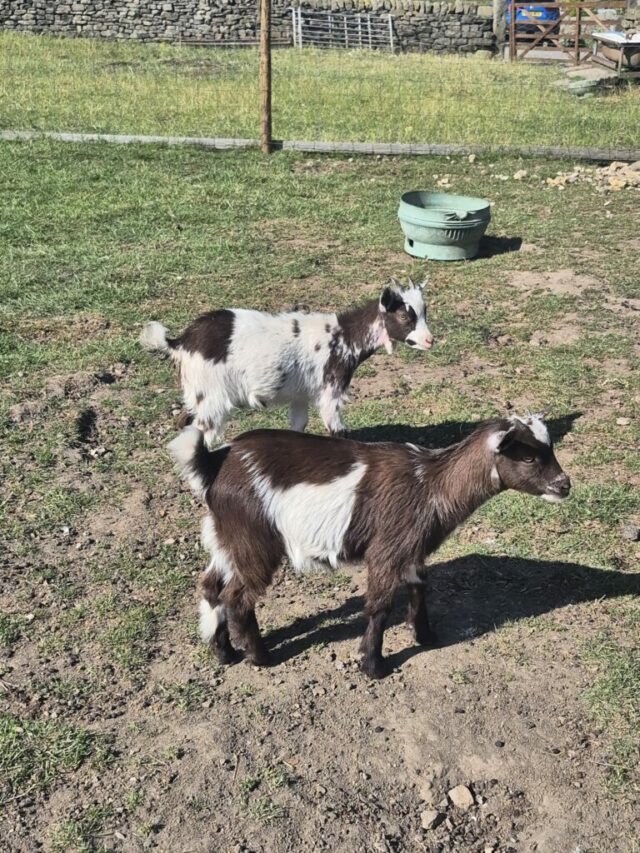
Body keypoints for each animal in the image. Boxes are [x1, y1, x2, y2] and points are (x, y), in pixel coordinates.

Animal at [140, 279, 432, 447]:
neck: (343, 336)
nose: (430, 340)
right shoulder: (330, 391)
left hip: (198, 392)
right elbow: (338, 431)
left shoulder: (300, 395)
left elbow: (298, 426)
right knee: (206, 432)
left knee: (186, 421)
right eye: (405, 317)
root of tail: (182, 341)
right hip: (212, 396)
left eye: (424, 313)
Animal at [168, 413, 570, 679]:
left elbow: (419, 587)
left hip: (224, 536)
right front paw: (374, 665)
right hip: (253, 537)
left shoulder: (411, 549)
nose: (565, 485)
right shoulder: (387, 548)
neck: (430, 483)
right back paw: (259, 657)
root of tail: (213, 464)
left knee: (211, 587)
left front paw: (425, 636)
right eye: (529, 456)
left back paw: (223, 652)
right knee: (237, 596)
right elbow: (379, 606)